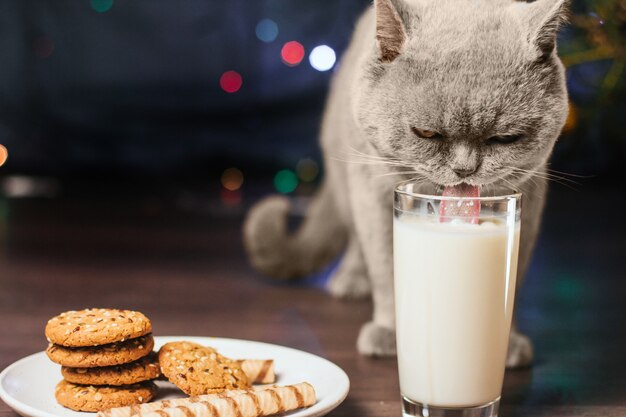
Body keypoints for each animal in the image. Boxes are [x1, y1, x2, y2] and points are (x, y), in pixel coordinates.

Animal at [243, 0, 564, 366]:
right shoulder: (372, 191)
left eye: (504, 138)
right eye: (425, 133)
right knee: (356, 240)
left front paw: (507, 344)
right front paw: (389, 333)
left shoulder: (531, 198)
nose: (464, 168)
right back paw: (351, 280)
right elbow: (385, 267)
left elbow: (515, 276)